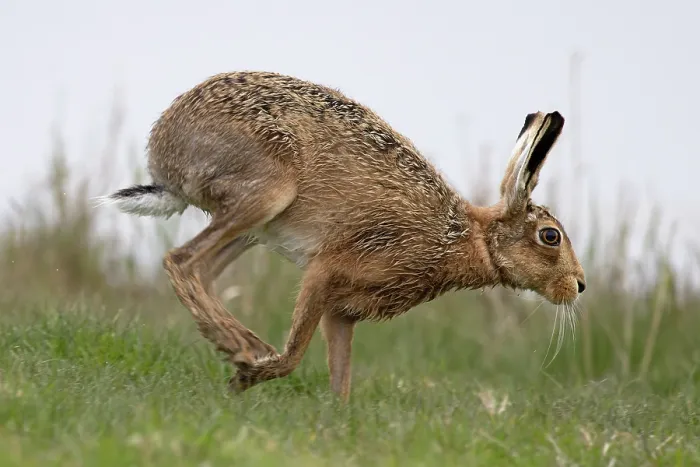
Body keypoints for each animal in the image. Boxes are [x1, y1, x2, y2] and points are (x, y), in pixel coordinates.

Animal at [97, 71, 585, 401]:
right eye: (550, 237)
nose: (579, 285)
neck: (469, 237)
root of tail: (165, 150)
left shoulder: (343, 311)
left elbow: (341, 375)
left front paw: (336, 418)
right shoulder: (327, 271)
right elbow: (295, 354)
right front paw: (245, 379)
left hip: (254, 225)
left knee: (203, 269)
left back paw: (241, 343)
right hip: (268, 189)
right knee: (183, 261)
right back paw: (242, 349)